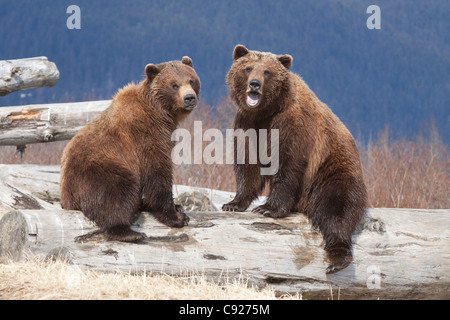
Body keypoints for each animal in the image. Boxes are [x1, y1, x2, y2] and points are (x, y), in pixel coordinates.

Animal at [60, 56, 201, 241]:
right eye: (174, 85)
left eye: (191, 80)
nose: (189, 97)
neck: (161, 112)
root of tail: (68, 198)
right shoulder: (147, 136)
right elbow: (157, 172)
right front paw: (177, 217)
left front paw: (177, 207)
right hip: (98, 171)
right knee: (115, 194)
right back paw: (128, 232)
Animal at [223, 45, 368, 274]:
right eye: (248, 68)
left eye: (267, 72)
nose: (254, 84)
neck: (267, 111)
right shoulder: (248, 124)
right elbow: (248, 165)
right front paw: (234, 203)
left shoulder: (292, 125)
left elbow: (287, 165)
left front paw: (268, 208)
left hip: (333, 172)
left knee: (337, 211)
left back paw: (338, 260)